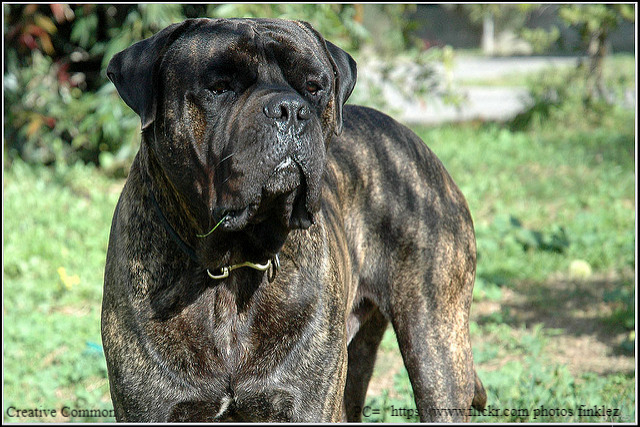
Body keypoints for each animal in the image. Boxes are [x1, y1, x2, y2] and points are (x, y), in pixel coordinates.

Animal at [102, 18, 488, 422]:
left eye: (314, 87)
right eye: (219, 88)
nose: (289, 109)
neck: (233, 265)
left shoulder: (305, 403)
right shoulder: (153, 407)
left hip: (435, 348)